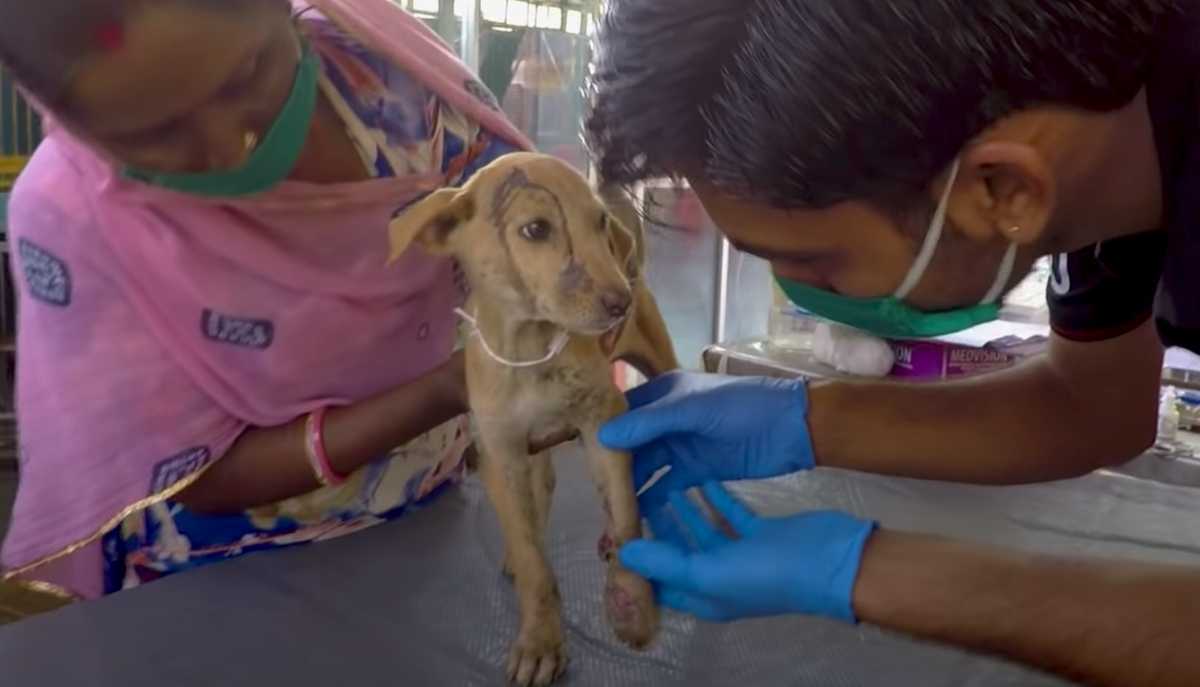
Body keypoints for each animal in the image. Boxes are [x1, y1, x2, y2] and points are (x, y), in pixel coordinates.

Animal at [391, 153, 681, 687]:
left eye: (599, 223)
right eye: (535, 229)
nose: (620, 302)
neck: (531, 346)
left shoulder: (603, 422)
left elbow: (625, 512)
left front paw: (633, 605)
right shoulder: (500, 452)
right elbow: (531, 556)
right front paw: (540, 639)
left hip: (659, 361)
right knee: (538, 498)